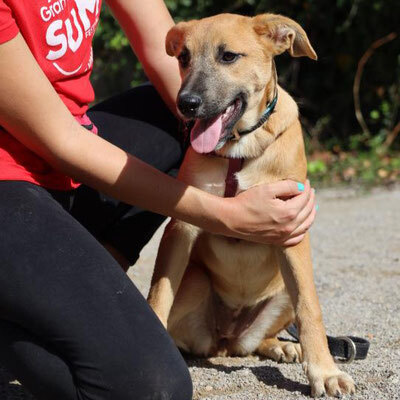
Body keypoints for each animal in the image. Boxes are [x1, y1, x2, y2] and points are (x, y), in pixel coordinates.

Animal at [148, 12, 354, 396]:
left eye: (228, 56)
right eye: (183, 57)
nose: (187, 104)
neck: (238, 148)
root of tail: (227, 339)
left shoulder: (293, 227)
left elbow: (310, 309)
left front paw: (324, 371)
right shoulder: (181, 226)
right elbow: (158, 294)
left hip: (283, 289)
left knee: (268, 333)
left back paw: (282, 346)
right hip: (196, 281)